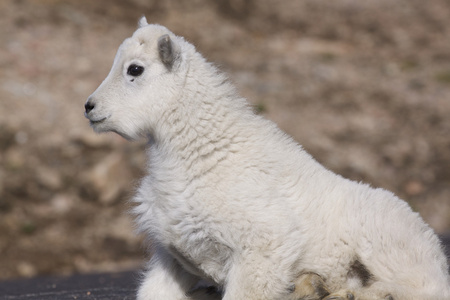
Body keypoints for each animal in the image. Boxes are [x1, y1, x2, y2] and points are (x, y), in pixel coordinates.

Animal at [85, 18, 450, 300]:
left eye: (135, 69)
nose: (89, 107)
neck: (203, 153)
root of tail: (433, 247)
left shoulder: (263, 245)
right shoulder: (172, 256)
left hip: (387, 245)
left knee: (419, 289)